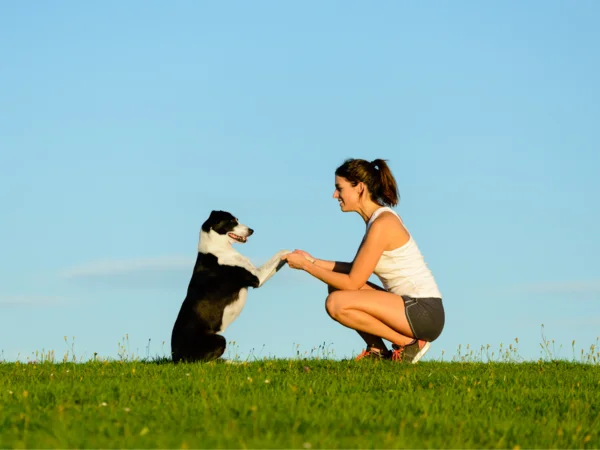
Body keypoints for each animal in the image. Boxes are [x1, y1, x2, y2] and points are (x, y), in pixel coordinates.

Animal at [171, 210, 290, 362]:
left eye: (237, 219)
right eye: (232, 221)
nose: (251, 230)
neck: (218, 249)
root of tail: (175, 358)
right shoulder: (257, 277)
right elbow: (281, 252)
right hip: (219, 340)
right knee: (205, 361)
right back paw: (233, 362)